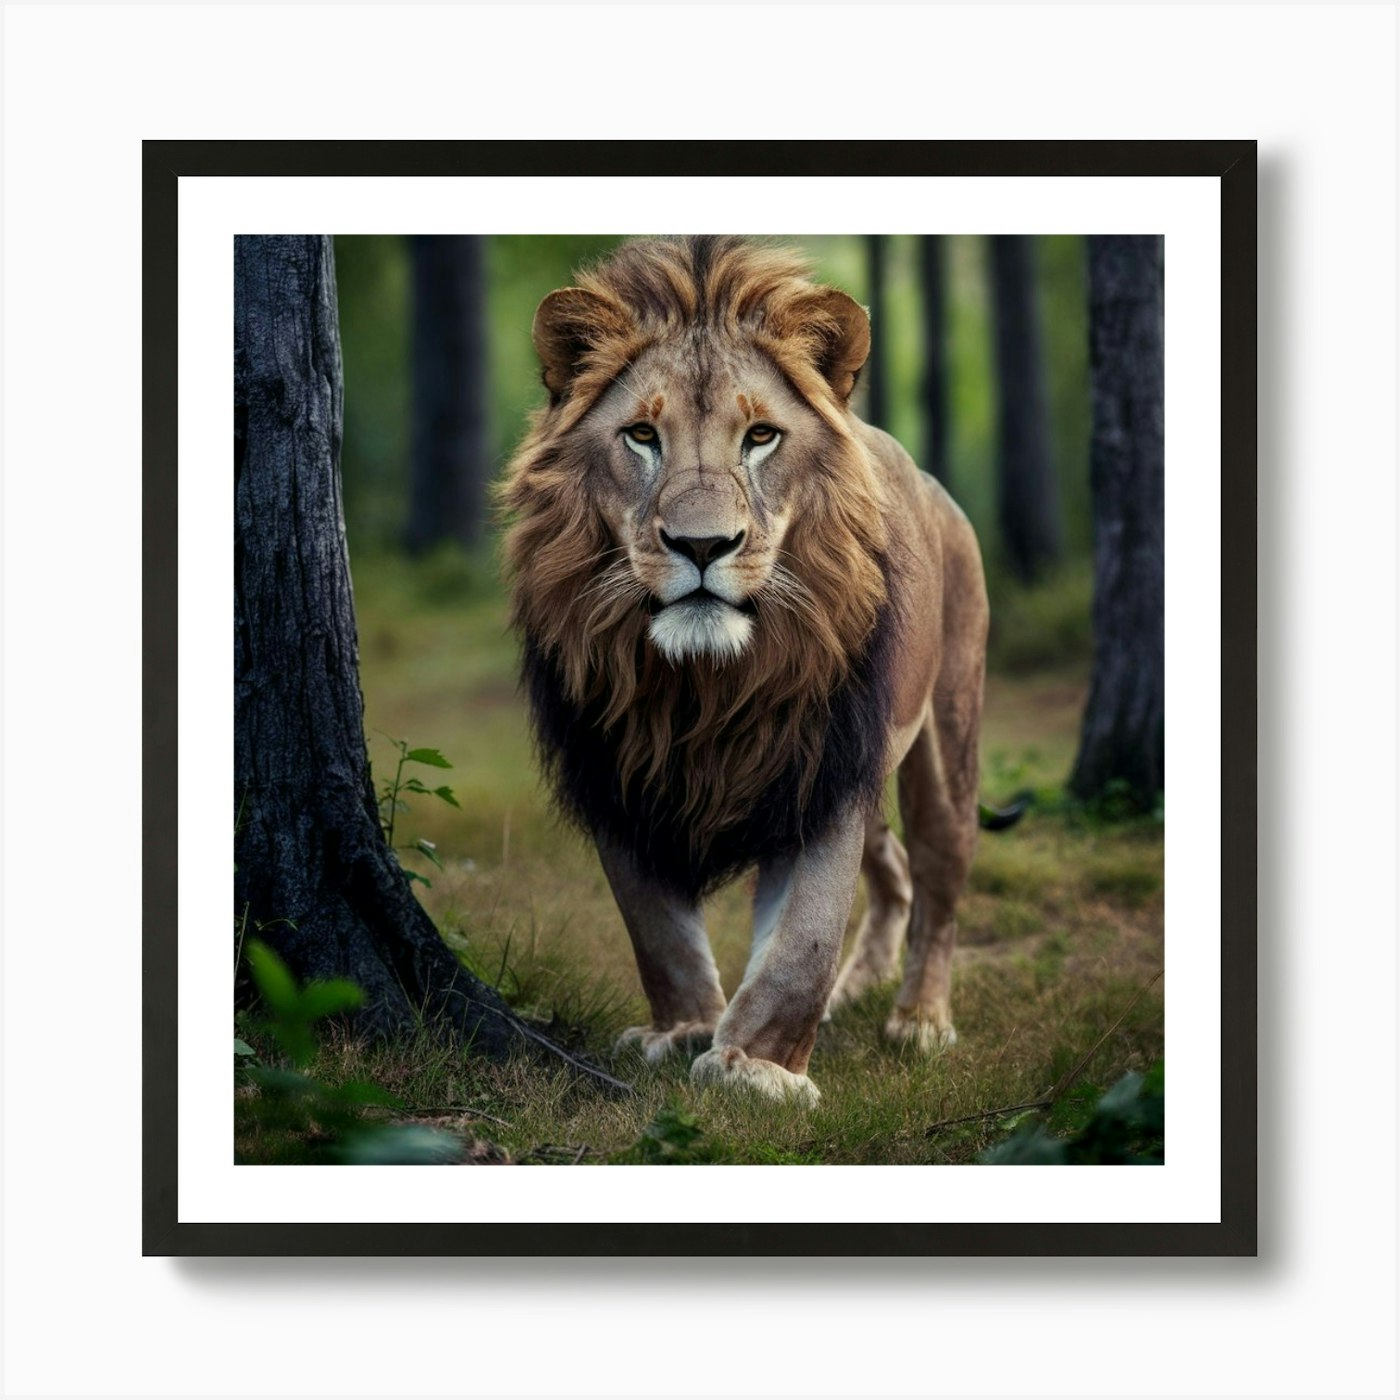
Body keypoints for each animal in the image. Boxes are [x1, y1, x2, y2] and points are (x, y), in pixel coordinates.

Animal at [501, 235, 997, 1107]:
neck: (704, 686)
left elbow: (803, 938)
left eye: (760, 437)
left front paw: (755, 1069)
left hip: (946, 734)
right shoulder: (615, 771)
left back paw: (919, 1020)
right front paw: (683, 1030)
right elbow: (656, 930)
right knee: (895, 870)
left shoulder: (823, 766)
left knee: (940, 875)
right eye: (641, 436)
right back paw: (856, 990)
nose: (702, 546)